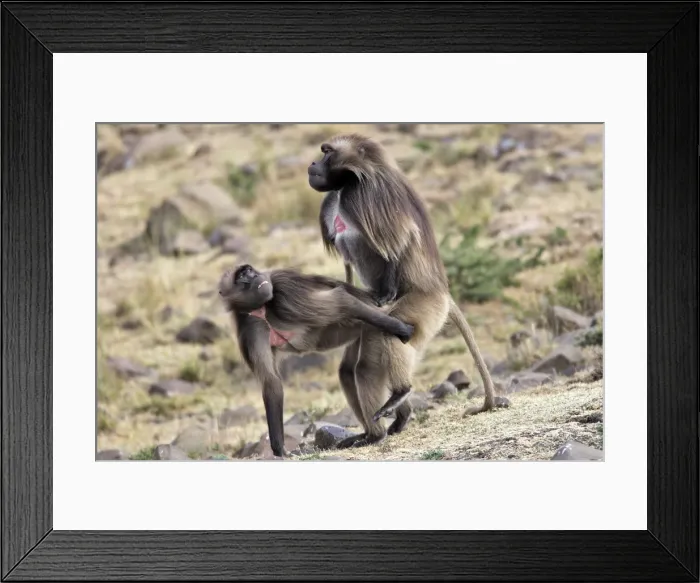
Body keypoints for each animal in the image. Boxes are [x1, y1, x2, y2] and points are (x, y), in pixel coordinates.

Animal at [218, 263, 415, 458]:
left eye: (249, 271)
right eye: (242, 276)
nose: (256, 277)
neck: (262, 309)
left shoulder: (284, 290)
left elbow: (341, 300)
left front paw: (403, 329)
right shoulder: (250, 329)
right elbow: (271, 382)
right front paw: (279, 449)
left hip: (373, 325)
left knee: (365, 369)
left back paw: (385, 421)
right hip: (362, 331)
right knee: (348, 373)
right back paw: (389, 421)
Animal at [308, 134, 510, 449]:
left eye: (327, 153)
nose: (312, 164)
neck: (353, 181)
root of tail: (444, 293)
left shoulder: (364, 196)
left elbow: (398, 241)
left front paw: (387, 288)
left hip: (425, 308)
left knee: (387, 341)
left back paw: (394, 405)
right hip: (376, 322)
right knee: (352, 368)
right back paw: (387, 423)